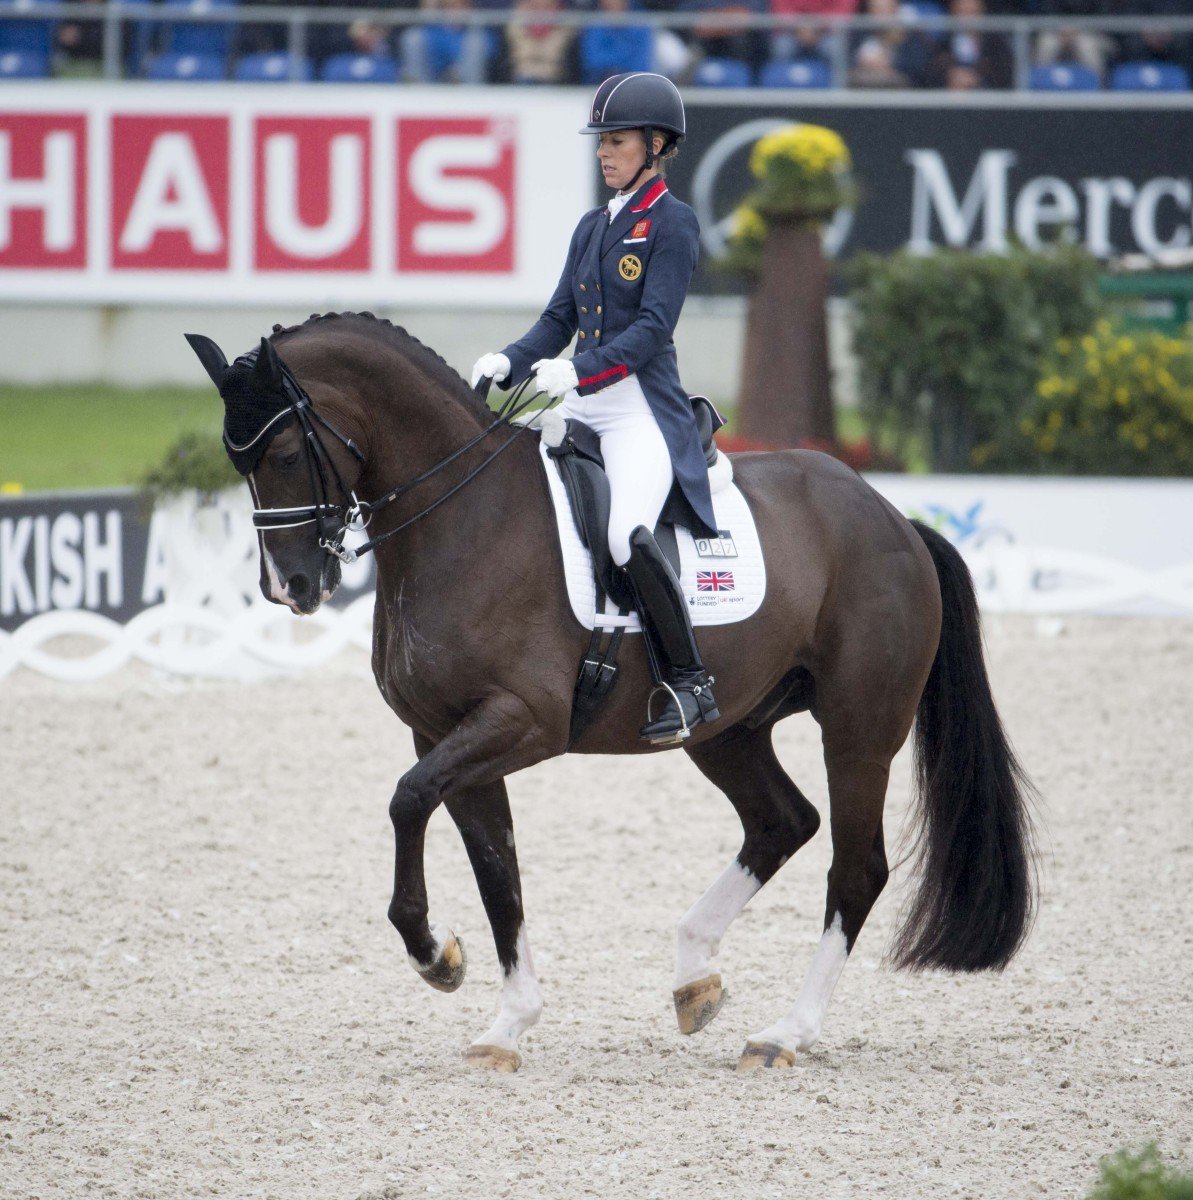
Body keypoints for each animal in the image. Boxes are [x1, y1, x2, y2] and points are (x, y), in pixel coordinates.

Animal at [183, 314, 1032, 1075]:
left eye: (284, 452)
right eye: (237, 460)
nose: (290, 587)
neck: (463, 516)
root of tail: (891, 517)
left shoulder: (520, 722)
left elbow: (407, 800)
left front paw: (435, 957)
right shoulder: (446, 734)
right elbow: (496, 869)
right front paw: (507, 1023)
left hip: (858, 732)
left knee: (855, 869)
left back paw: (784, 1033)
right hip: (726, 730)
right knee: (781, 823)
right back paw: (694, 977)